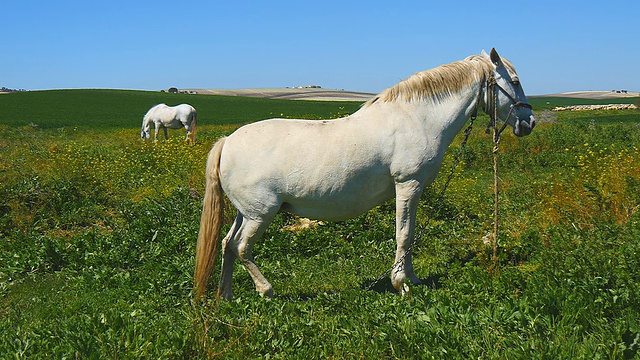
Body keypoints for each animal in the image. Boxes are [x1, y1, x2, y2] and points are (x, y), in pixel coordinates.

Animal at [194, 48, 536, 300]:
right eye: (515, 80)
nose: (528, 122)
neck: (418, 118)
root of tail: (228, 142)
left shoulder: (413, 190)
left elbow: (409, 235)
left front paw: (413, 278)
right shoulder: (407, 184)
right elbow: (404, 234)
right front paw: (401, 283)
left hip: (245, 212)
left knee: (227, 244)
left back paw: (225, 295)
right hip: (260, 214)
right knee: (242, 247)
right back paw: (266, 290)